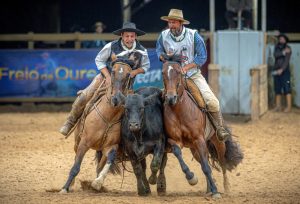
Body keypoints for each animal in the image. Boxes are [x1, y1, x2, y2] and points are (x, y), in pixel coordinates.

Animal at [60, 53, 137, 192]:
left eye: (129, 74)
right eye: (113, 71)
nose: (116, 98)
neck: (109, 117)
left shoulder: (111, 146)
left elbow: (108, 161)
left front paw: (97, 183)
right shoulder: (84, 143)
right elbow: (76, 167)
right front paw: (64, 188)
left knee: (99, 166)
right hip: (77, 141)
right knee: (75, 157)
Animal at [162, 60, 244, 198]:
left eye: (178, 72)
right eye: (163, 73)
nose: (170, 98)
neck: (179, 110)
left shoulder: (198, 139)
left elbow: (206, 167)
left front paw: (216, 192)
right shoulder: (175, 140)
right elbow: (179, 154)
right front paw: (191, 178)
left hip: (217, 142)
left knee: (221, 163)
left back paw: (226, 187)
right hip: (194, 149)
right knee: (203, 162)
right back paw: (208, 189)